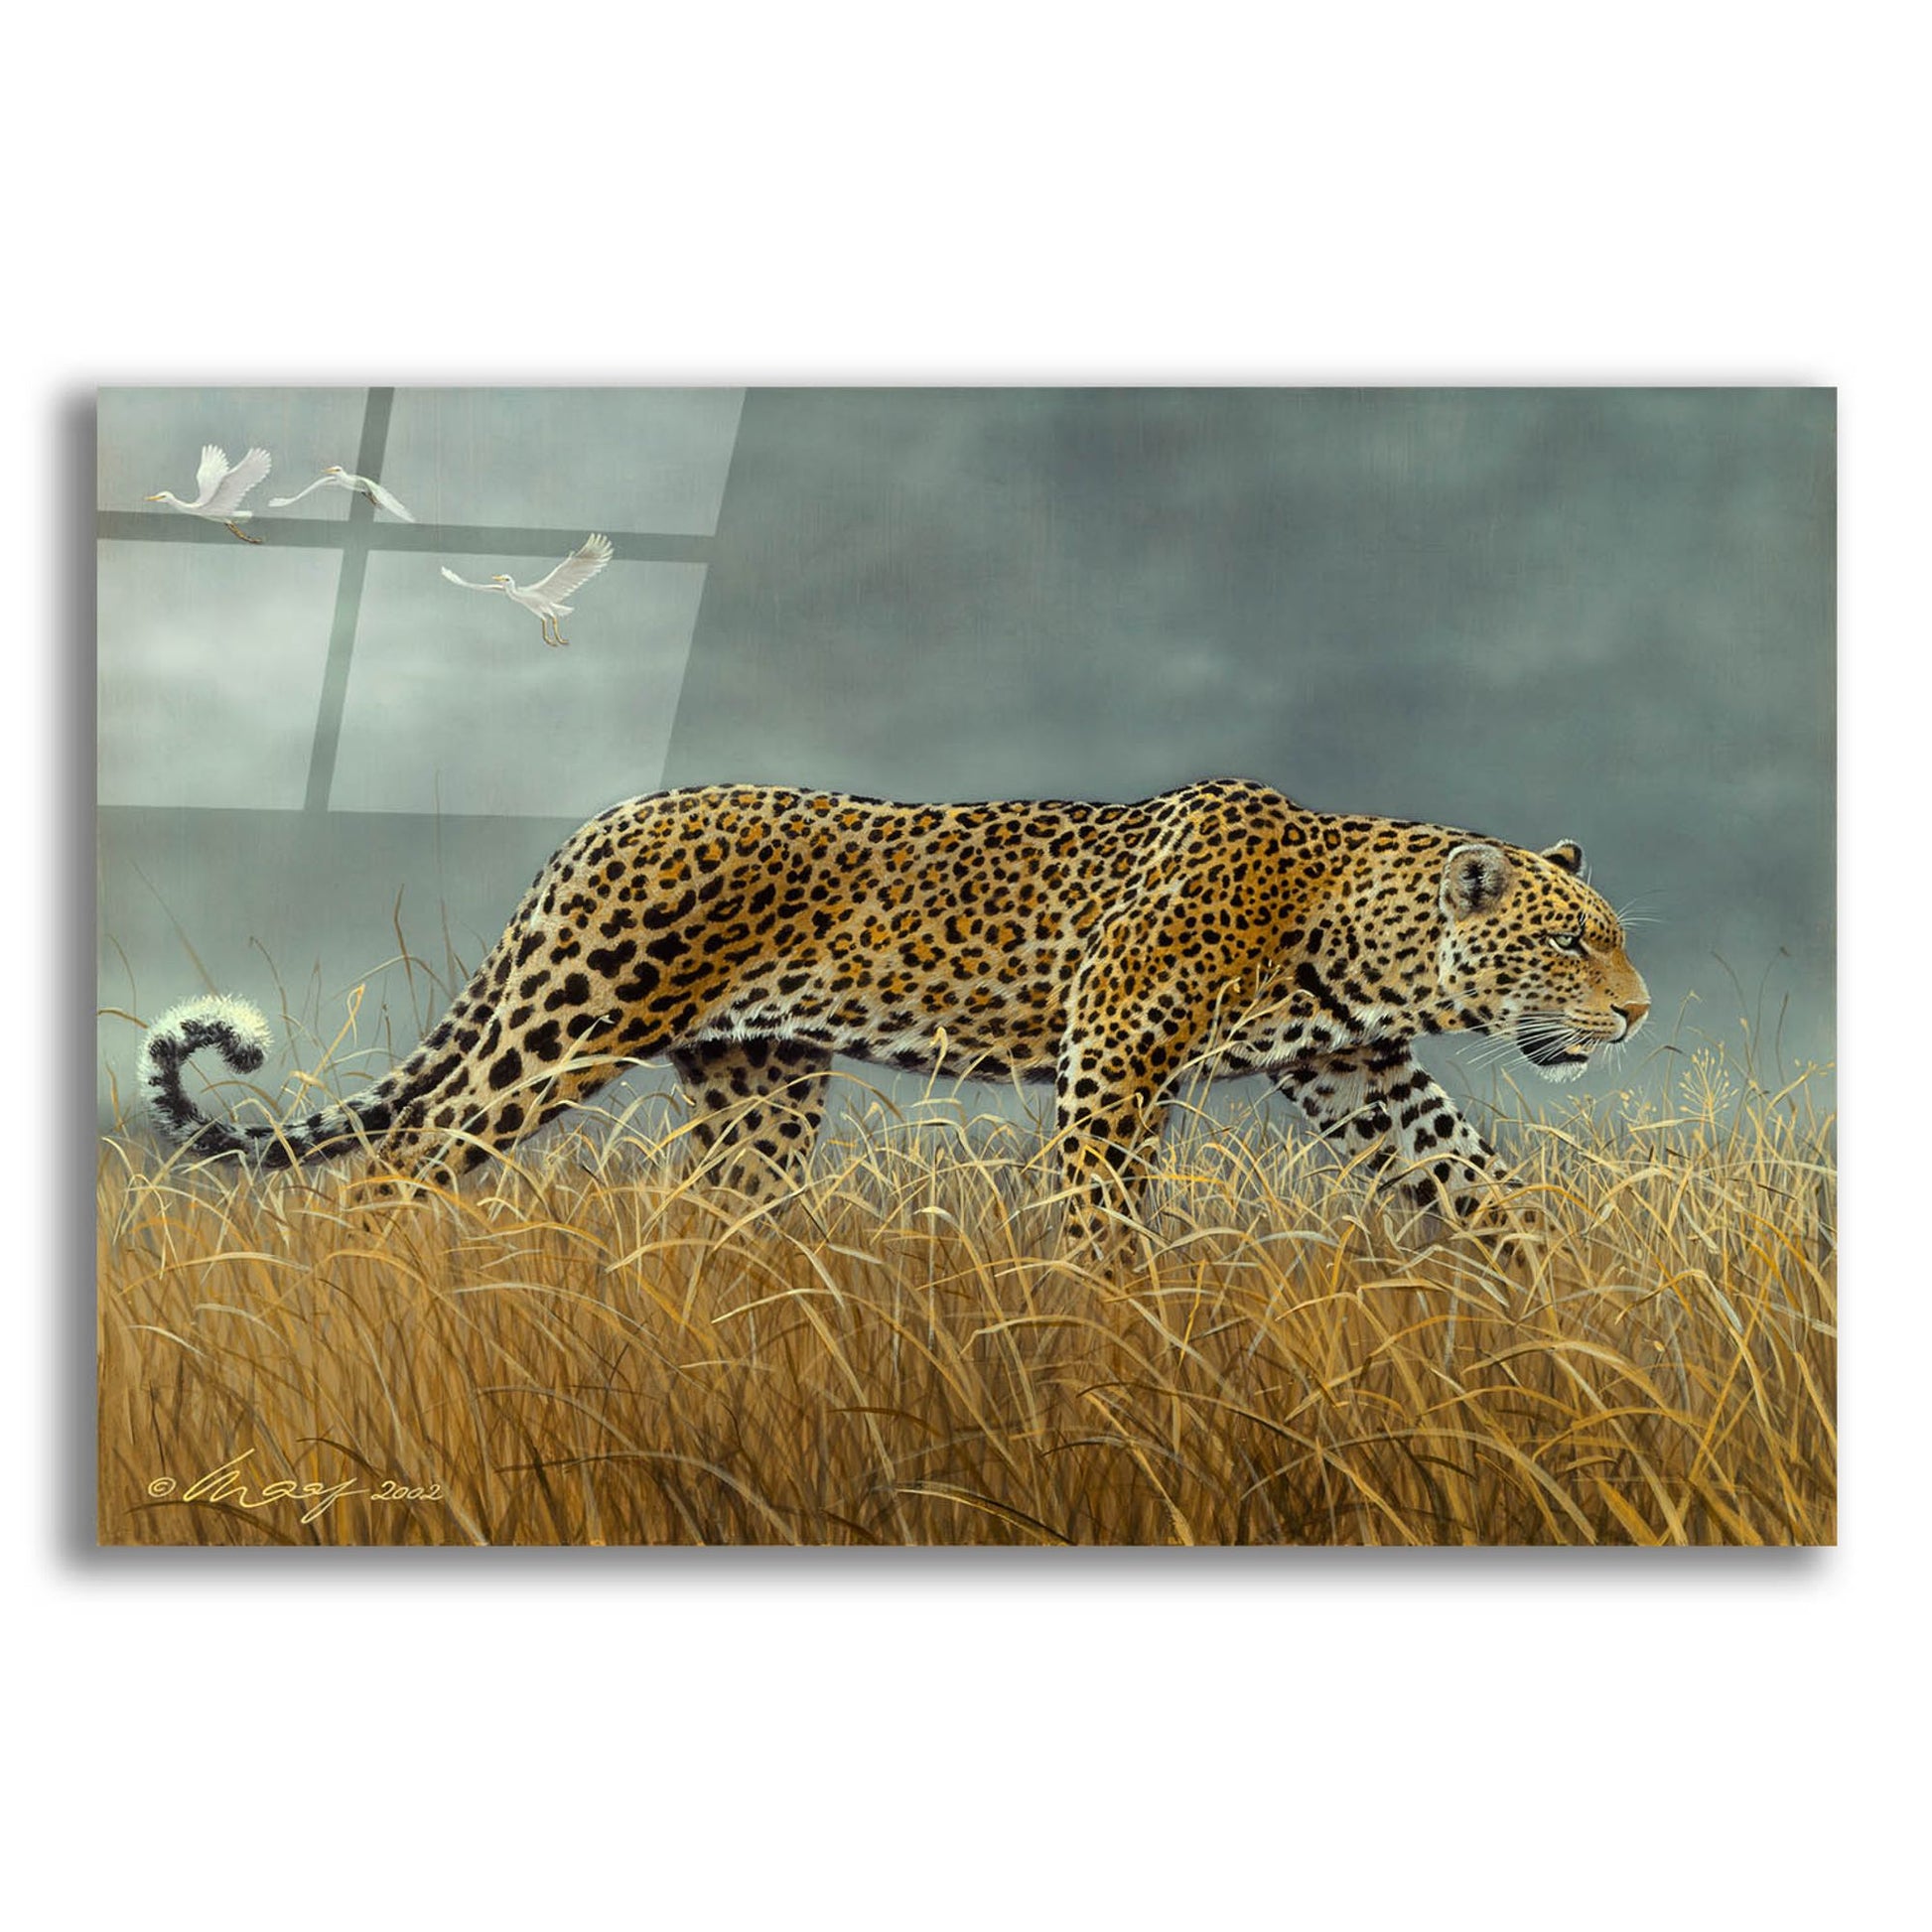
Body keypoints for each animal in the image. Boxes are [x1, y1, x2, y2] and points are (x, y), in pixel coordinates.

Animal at [138, 778, 1649, 1248]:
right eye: (1573, 943)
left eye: (1616, 939)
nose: (1635, 1015)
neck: (1356, 935)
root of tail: (600, 823)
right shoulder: (1112, 1066)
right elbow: (1101, 1222)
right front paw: (1112, 1342)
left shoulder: (1367, 1075)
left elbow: (1478, 1184)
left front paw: (1555, 1311)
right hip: (565, 1025)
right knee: (403, 1159)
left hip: (759, 1082)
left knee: (710, 1209)